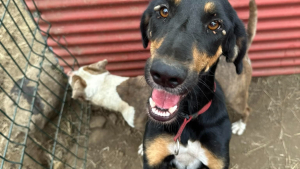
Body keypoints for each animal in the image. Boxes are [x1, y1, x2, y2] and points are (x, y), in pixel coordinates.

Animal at [142, 0, 254, 169]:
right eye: (163, 11)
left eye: (214, 24)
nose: (165, 75)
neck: (186, 117)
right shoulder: (154, 156)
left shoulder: (216, 160)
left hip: (236, 97)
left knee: (247, 109)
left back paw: (241, 125)